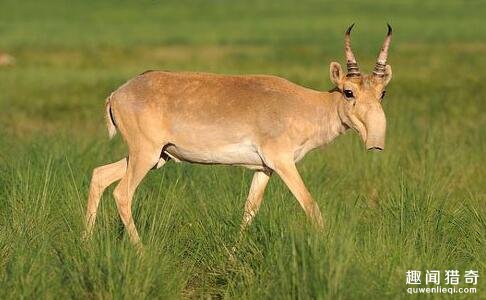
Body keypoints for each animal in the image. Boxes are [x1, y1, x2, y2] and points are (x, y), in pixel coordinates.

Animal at [85, 23, 392, 244]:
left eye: (382, 93)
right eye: (348, 92)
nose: (376, 143)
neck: (306, 104)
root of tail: (117, 94)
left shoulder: (264, 169)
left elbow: (249, 210)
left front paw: (233, 255)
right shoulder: (283, 163)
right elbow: (311, 206)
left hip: (157, 157)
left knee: (100, 175)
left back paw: (86, 243)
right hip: (145, 155)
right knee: (122, 193)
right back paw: (141, 252)